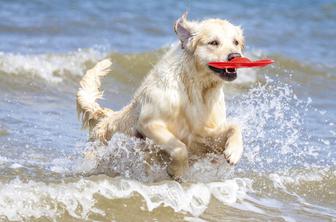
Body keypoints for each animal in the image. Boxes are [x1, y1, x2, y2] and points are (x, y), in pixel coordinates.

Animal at [76, 12, 244, 180]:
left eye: (236, 42)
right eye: (214, 42)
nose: (235, 56)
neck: (196, 89)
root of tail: (103, 116)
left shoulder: (204, 134)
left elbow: (235, 125)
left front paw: (234, 152)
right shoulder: (149, 123)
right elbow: (179, 147)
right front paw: (176, 170)